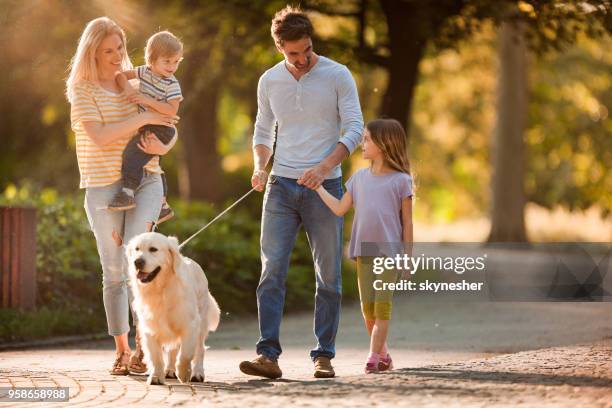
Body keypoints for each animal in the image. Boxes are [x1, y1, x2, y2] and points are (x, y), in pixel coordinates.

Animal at [125, 231, 220, 384]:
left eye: (153, 249)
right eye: (136, 249)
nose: (137, 262)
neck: (160, 290)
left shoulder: (190, 325)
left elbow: (186, 354)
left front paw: (184, 372)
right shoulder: (150, 328)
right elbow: (156, 357)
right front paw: (156, 376)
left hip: (202, 323)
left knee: (200, 349)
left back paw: (197, 373)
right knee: (172, 350)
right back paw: (169, 370)